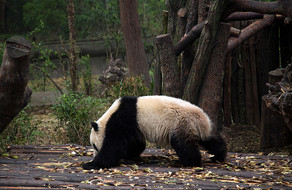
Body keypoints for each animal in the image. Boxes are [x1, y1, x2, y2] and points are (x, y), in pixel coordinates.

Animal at [81, 95, 227, 170]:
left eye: (94, 145)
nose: (94, 153)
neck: (108, 117)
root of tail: (201, 119)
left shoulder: (123, 120)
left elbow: (113, 146)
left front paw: (91, 164)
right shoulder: (135, 127)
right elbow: (136, 143)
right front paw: (129, 155)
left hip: (181, 123)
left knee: (184, 145)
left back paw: (189, 162)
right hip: (198, 128)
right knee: (210, 140)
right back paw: (218, 156)